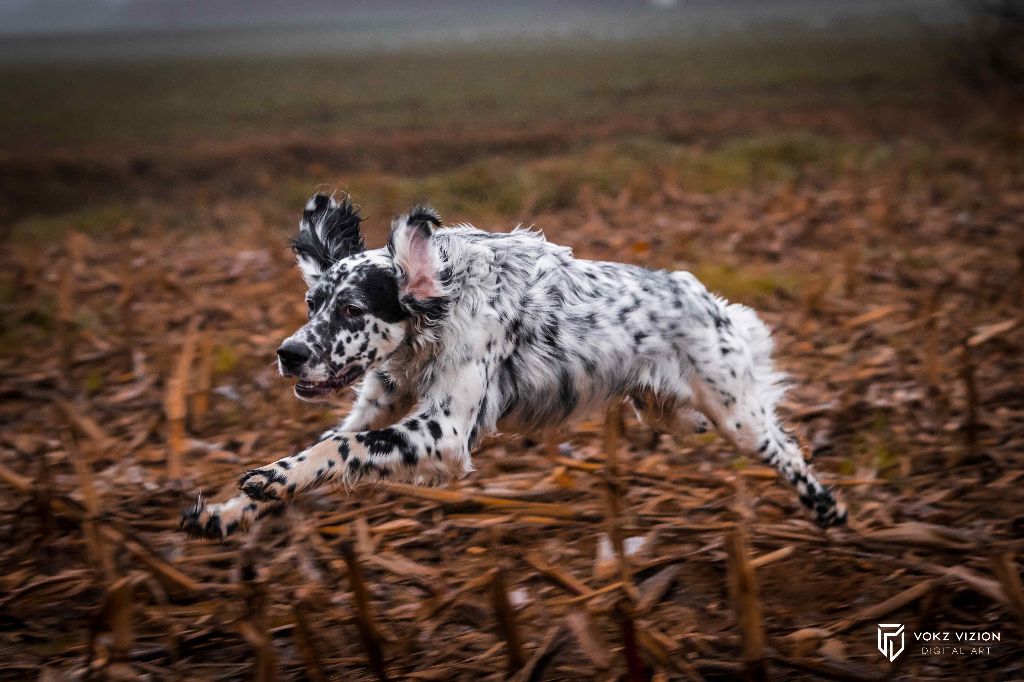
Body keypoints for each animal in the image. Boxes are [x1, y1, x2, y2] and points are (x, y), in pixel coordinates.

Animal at [178, 192, 847, 536]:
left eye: (350, 308)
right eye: (312, 302)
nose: (288, 355)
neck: (435, 317)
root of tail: (698, 292)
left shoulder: (444, 433)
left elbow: (342, 449)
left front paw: (268, 478)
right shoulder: (375, 408)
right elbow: (327, 448)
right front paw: (229, 510)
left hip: (735, 413)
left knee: (785, 448)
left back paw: (828, 508)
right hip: (669, 409)